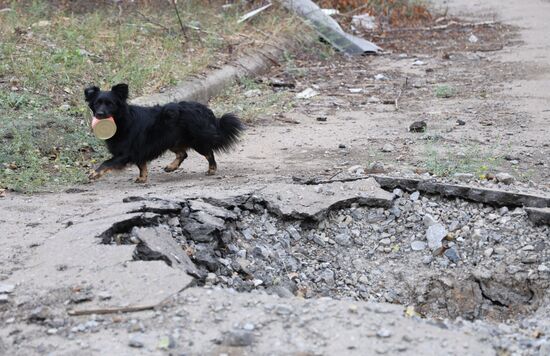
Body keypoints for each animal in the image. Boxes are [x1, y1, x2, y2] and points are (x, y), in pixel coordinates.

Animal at [84, 84, 244, 184]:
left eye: (110, 104)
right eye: (97, 103)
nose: (99, 114)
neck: (122, 120)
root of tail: (206, 110)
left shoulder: (126, 153)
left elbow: (107, 162)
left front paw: (94, 174)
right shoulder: (139, 150)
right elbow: (142, 165)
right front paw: (142, 178)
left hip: (196, 140)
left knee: (209, 153)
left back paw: (212, 169)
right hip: (172, 140)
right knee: (183, 154)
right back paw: (171, 167)